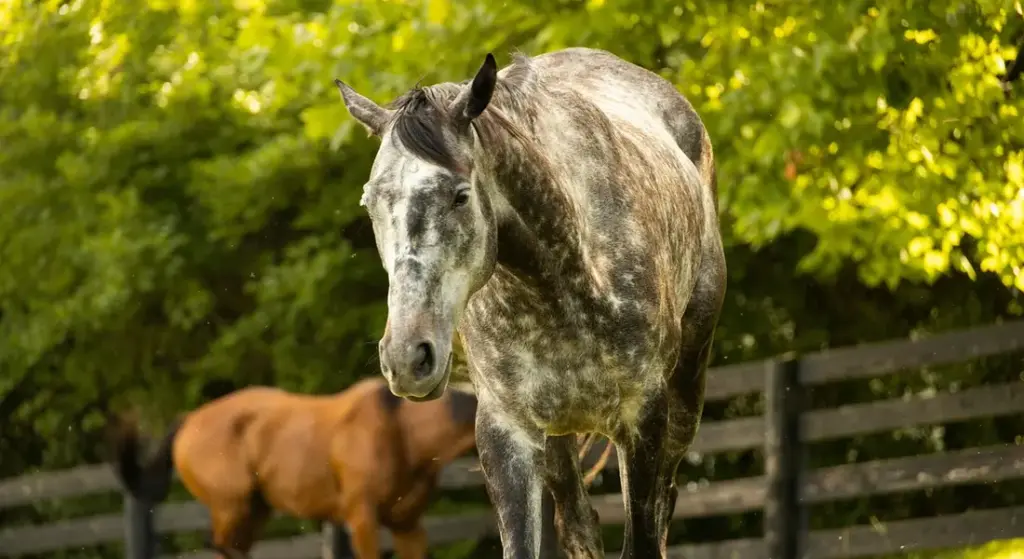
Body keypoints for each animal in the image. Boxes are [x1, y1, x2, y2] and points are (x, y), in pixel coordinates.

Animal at [110, 377, 480, 559]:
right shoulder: (361, 519)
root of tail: (188, 420)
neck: (402, 430)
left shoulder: (408, 526)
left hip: (254, 512)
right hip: (231, 508)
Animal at [332, 47, 725, 558]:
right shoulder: (506, 432)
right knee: (579, 523)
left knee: (663, 507)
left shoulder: (643, 419)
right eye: (371, 202)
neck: (564, 284)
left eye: (460, 196)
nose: (406, 358)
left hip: (683, 400)